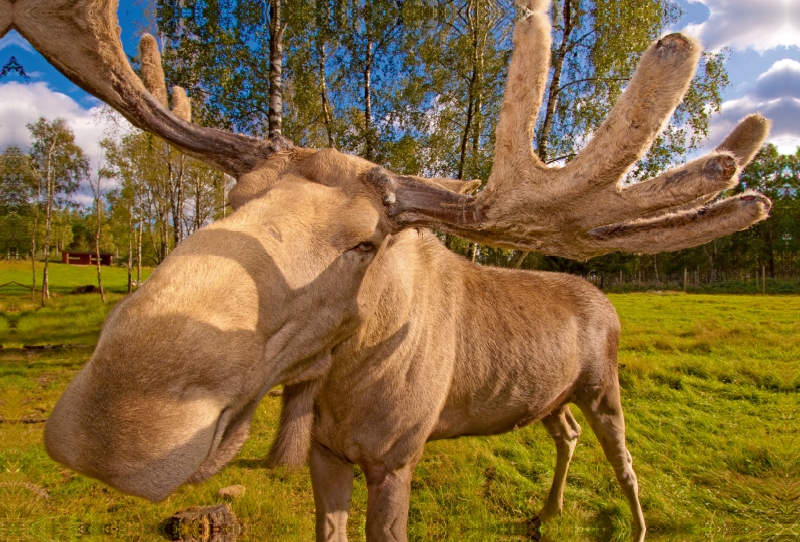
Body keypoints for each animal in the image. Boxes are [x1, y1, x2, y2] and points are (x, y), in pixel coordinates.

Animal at [1, 1, 776, 542]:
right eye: (233, 199)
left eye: (368, 244)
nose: (114, 427)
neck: (344, 386)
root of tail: (604, 298)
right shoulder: (325, 452)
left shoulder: (398, 456)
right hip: (550, 396)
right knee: (566, 435)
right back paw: (546, 511)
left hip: (603, 385)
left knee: (623, 457)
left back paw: (637, 525)